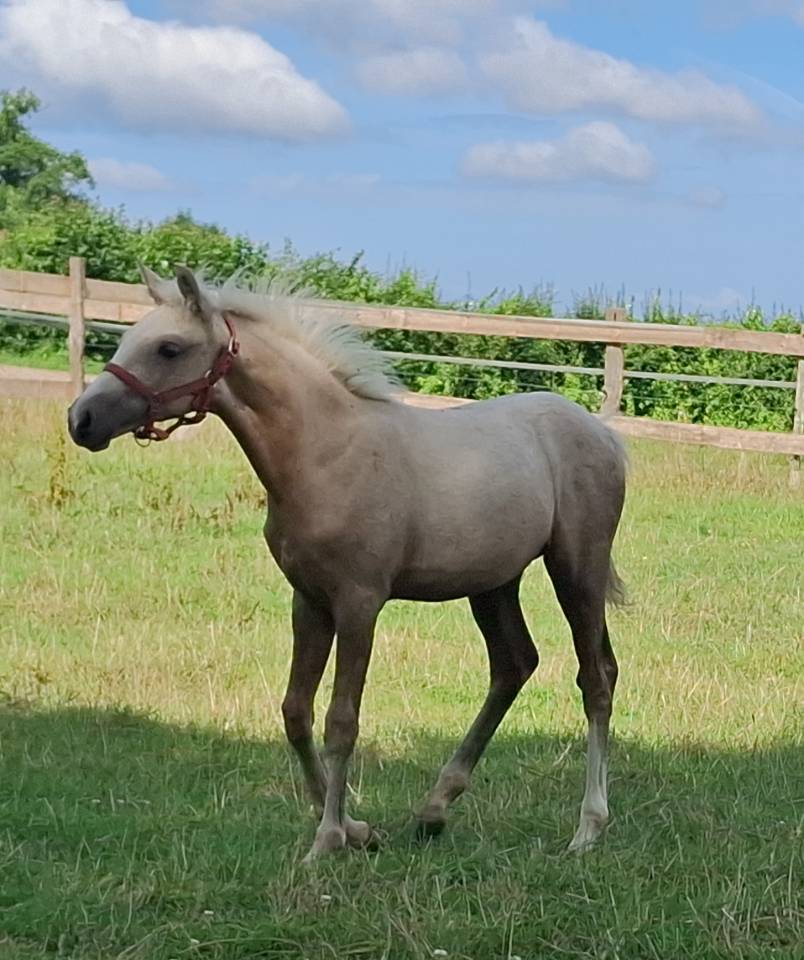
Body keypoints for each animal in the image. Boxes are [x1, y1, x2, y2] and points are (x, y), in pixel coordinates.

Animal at [68, 266, 627, 862]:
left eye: (169, 348)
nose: (81, 419)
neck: (325, 454)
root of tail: (605, 434)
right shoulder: (309, 599)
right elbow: (295, 711)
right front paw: (357, 829)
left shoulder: (360, 603)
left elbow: (342, 720)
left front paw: (327, 840)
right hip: (494, 582)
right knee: (514, 665)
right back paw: (434, 809)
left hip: (577, 569)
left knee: (595, 679)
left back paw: (588, 828)